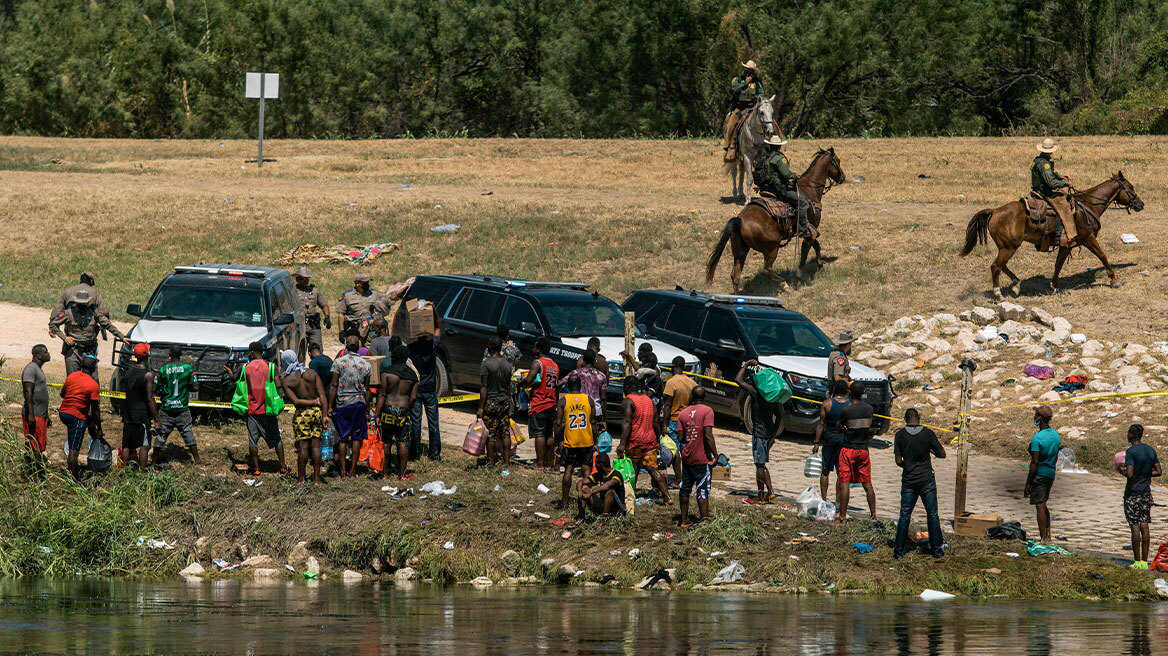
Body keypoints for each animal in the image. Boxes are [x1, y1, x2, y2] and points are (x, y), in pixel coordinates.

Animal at [705, 149, 845, 291]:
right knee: (766, 270)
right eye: (838, 161)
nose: (843, 178)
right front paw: (799, 280)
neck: (809, 189)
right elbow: (805, 254)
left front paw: (821, 267)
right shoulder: (809, 232)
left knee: (735, 276)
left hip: (740, 251)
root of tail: (739, 220)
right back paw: (784, 284)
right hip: (771, 248)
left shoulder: (812, 232)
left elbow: (816, 246)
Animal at [962, 171, 1144, 298]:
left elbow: (1058, 264)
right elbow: (1103, 256)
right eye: (1130, 187)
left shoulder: (1066, 244)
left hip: (1007, 247)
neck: (1088, 204)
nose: (1141, 204)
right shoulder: (1088, 238)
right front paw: (1114, 280)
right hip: (1009, 247)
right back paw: (999, 294)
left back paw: (1016, 284)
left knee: (1001, 265)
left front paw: (1054, 286)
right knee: (995, 266)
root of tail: (995, 211)